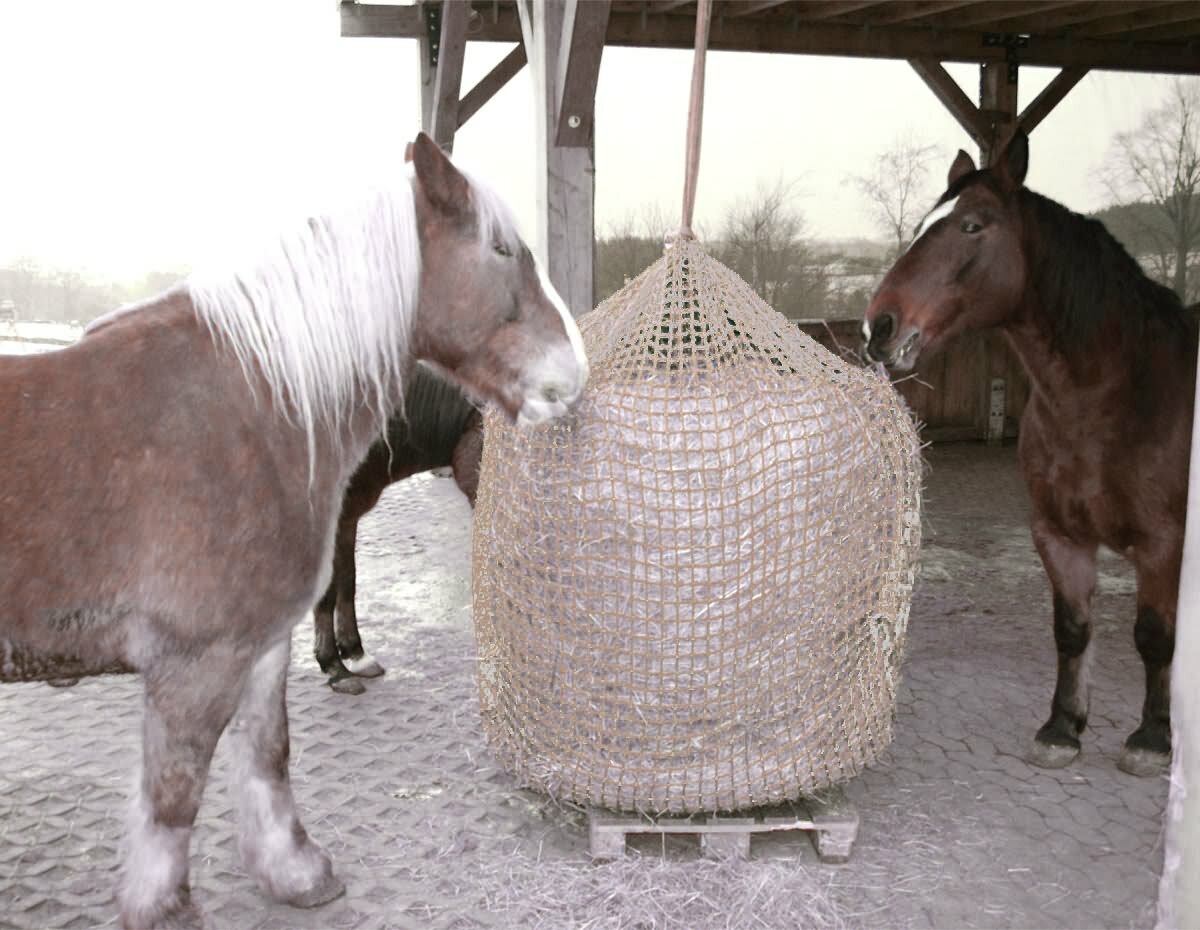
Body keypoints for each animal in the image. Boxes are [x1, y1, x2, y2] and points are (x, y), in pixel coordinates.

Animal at [868, 125, 1195, 777]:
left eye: (973, 225)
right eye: (922, 223)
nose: (880, 326)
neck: (1115, 395)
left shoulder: (1163, 545)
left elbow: (1154, 637)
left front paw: (1152, 738)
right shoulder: (1058, 534)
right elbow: (1071, 629)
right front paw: (1062, 728)